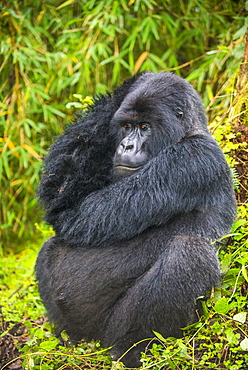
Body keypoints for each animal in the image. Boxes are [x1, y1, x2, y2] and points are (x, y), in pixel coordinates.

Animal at [35, 71, 236, 368]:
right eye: (127, 126)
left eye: (144, 127)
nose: (126, 145)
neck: (190, 131)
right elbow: (61, 194)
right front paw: (133, 83)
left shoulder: (191, 158)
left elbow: (80, 215)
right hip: (82, 331)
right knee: (50, 246)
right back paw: (69, 337)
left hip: (112, 333)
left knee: (189, 253)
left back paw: (131, 351)